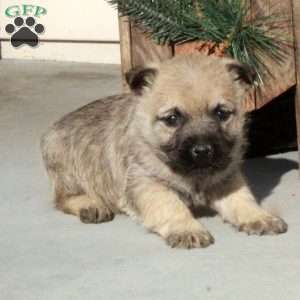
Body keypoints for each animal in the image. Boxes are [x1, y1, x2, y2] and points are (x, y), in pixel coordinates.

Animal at [41, 54, 288, 248]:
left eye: (221, 113)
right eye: (172, 119)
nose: (203, 150)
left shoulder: (226, 179)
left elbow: (243, 199)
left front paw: (259, 216)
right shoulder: (148, 184)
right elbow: (171, 206)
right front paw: (186, 229)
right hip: (68, 171)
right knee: (62, 198)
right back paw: (92, 205)